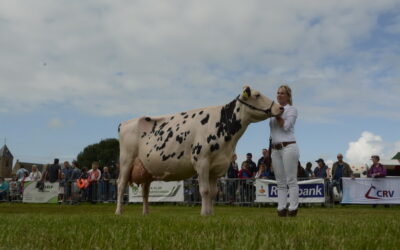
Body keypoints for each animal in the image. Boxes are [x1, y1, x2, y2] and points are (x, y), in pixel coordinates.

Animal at [115, 86, 284, 215]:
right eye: (257, 95)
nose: (280, 107)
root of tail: (124, 123)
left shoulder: (216, 166)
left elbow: (214, 192)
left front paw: (211, 213)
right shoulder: (201, 161)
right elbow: (204, 190)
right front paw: (204, 213)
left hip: (146, 168)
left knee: (145, 190)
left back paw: (146, 213)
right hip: (126, 160)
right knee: (121, 185)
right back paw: (119, 212)